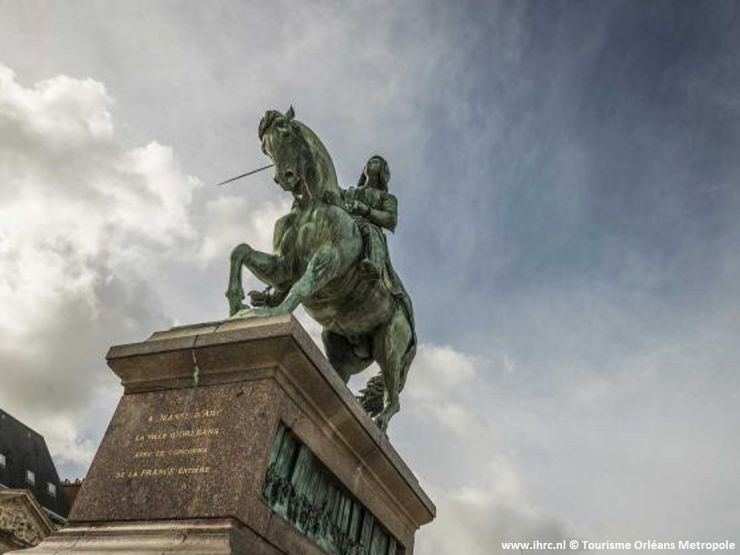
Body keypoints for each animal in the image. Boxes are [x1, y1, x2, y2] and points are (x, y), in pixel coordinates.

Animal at [225, 106, 416, 432]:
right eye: (265, 148)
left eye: (286, 134)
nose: (285, 178)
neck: (312, 204)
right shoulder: (282, 266)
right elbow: (241, 251)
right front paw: (237, 304)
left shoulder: (327, 260)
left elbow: (301, 287)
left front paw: (270, 313)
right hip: (340, 346)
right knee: (342, 378)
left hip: (390, 346)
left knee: (394, 398)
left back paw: (379, 425)